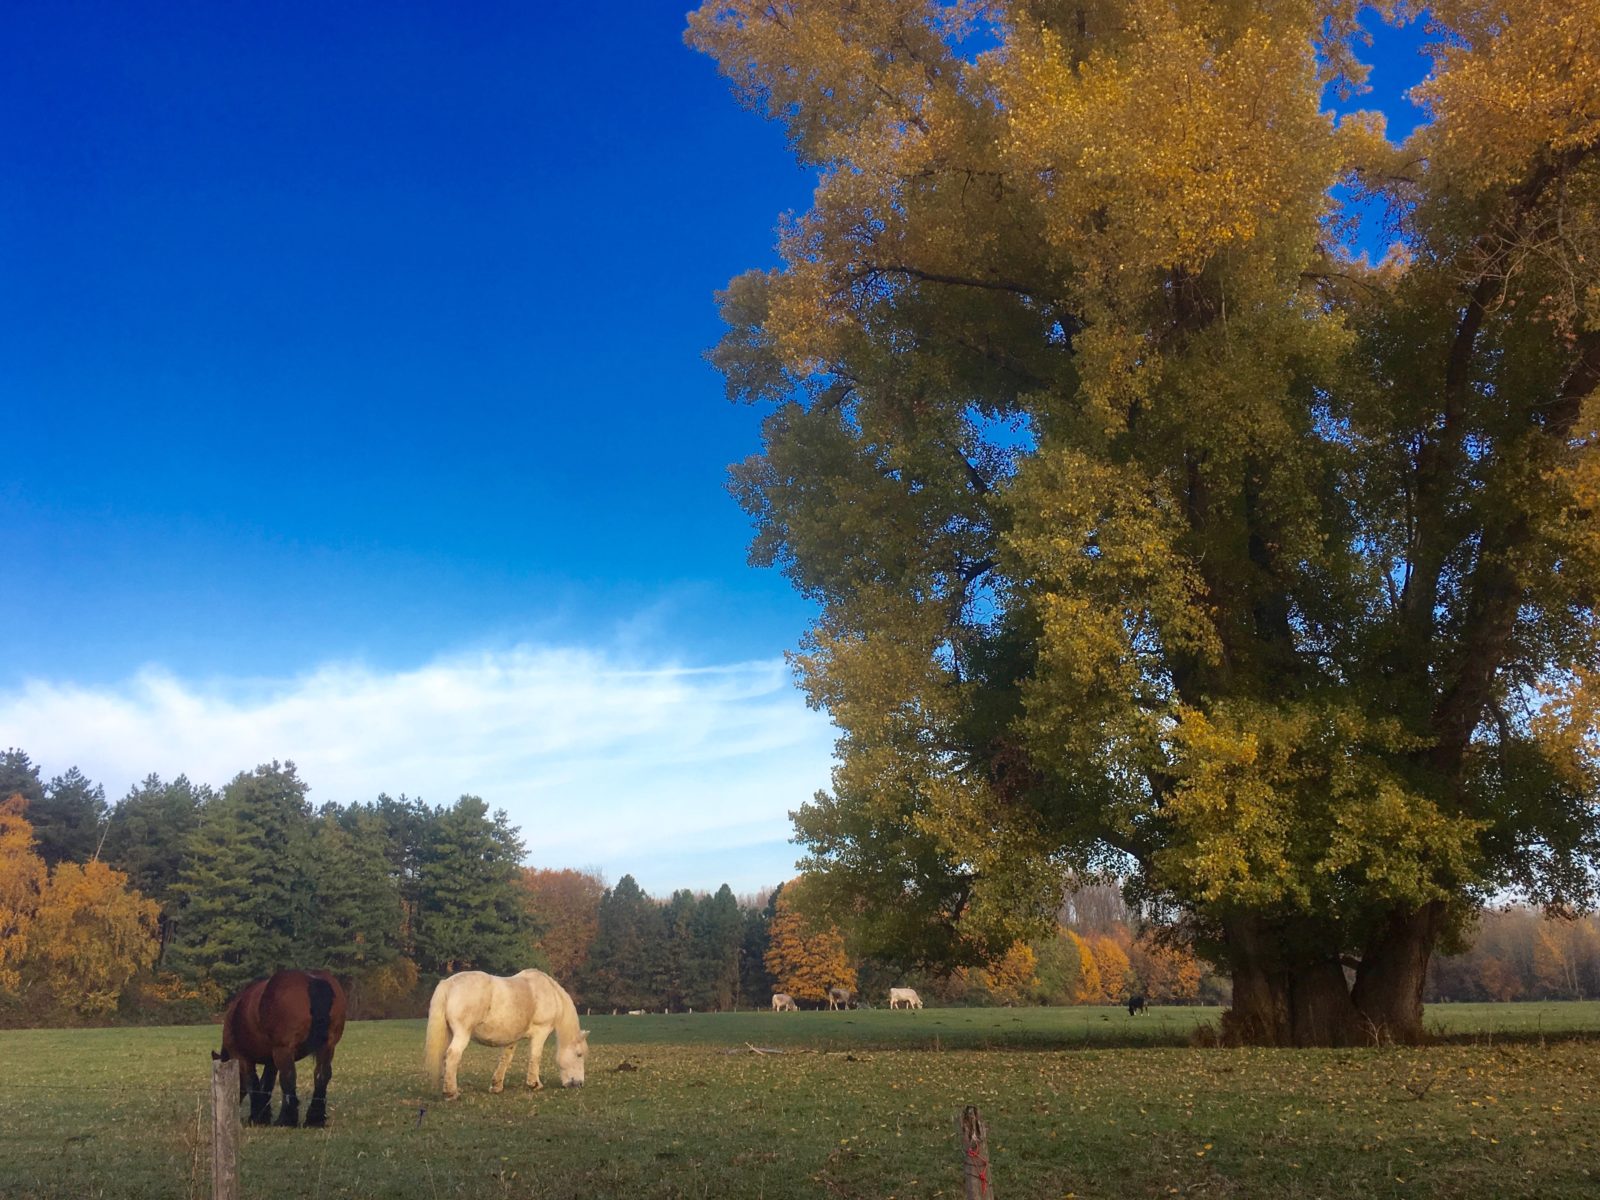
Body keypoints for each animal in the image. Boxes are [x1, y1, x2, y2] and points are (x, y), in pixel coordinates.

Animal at [212, 966, 347, 1126]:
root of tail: (313, 980)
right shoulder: (271, 1061)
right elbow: (266, 1084)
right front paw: (263, 1115)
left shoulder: (242, 1058)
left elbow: (254, 1083)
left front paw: (257, 1117)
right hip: (327, 1047)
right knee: (321, 1075)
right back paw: (314, 1119)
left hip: (284, 1051)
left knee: (288, 1077)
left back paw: (286, 1119)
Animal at [422, 972, 592, 1107]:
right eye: (579, 1055)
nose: (579, 1084)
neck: (548, 992)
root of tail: (448, 984)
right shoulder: (541, 1032)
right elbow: (535, 1056)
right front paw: (534, 1084)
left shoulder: (513, 1038)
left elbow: (505, 1059)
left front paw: (496, 1086)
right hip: (461, 1034)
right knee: (452, 1056)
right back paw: (451, 1093)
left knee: (444, 1057)